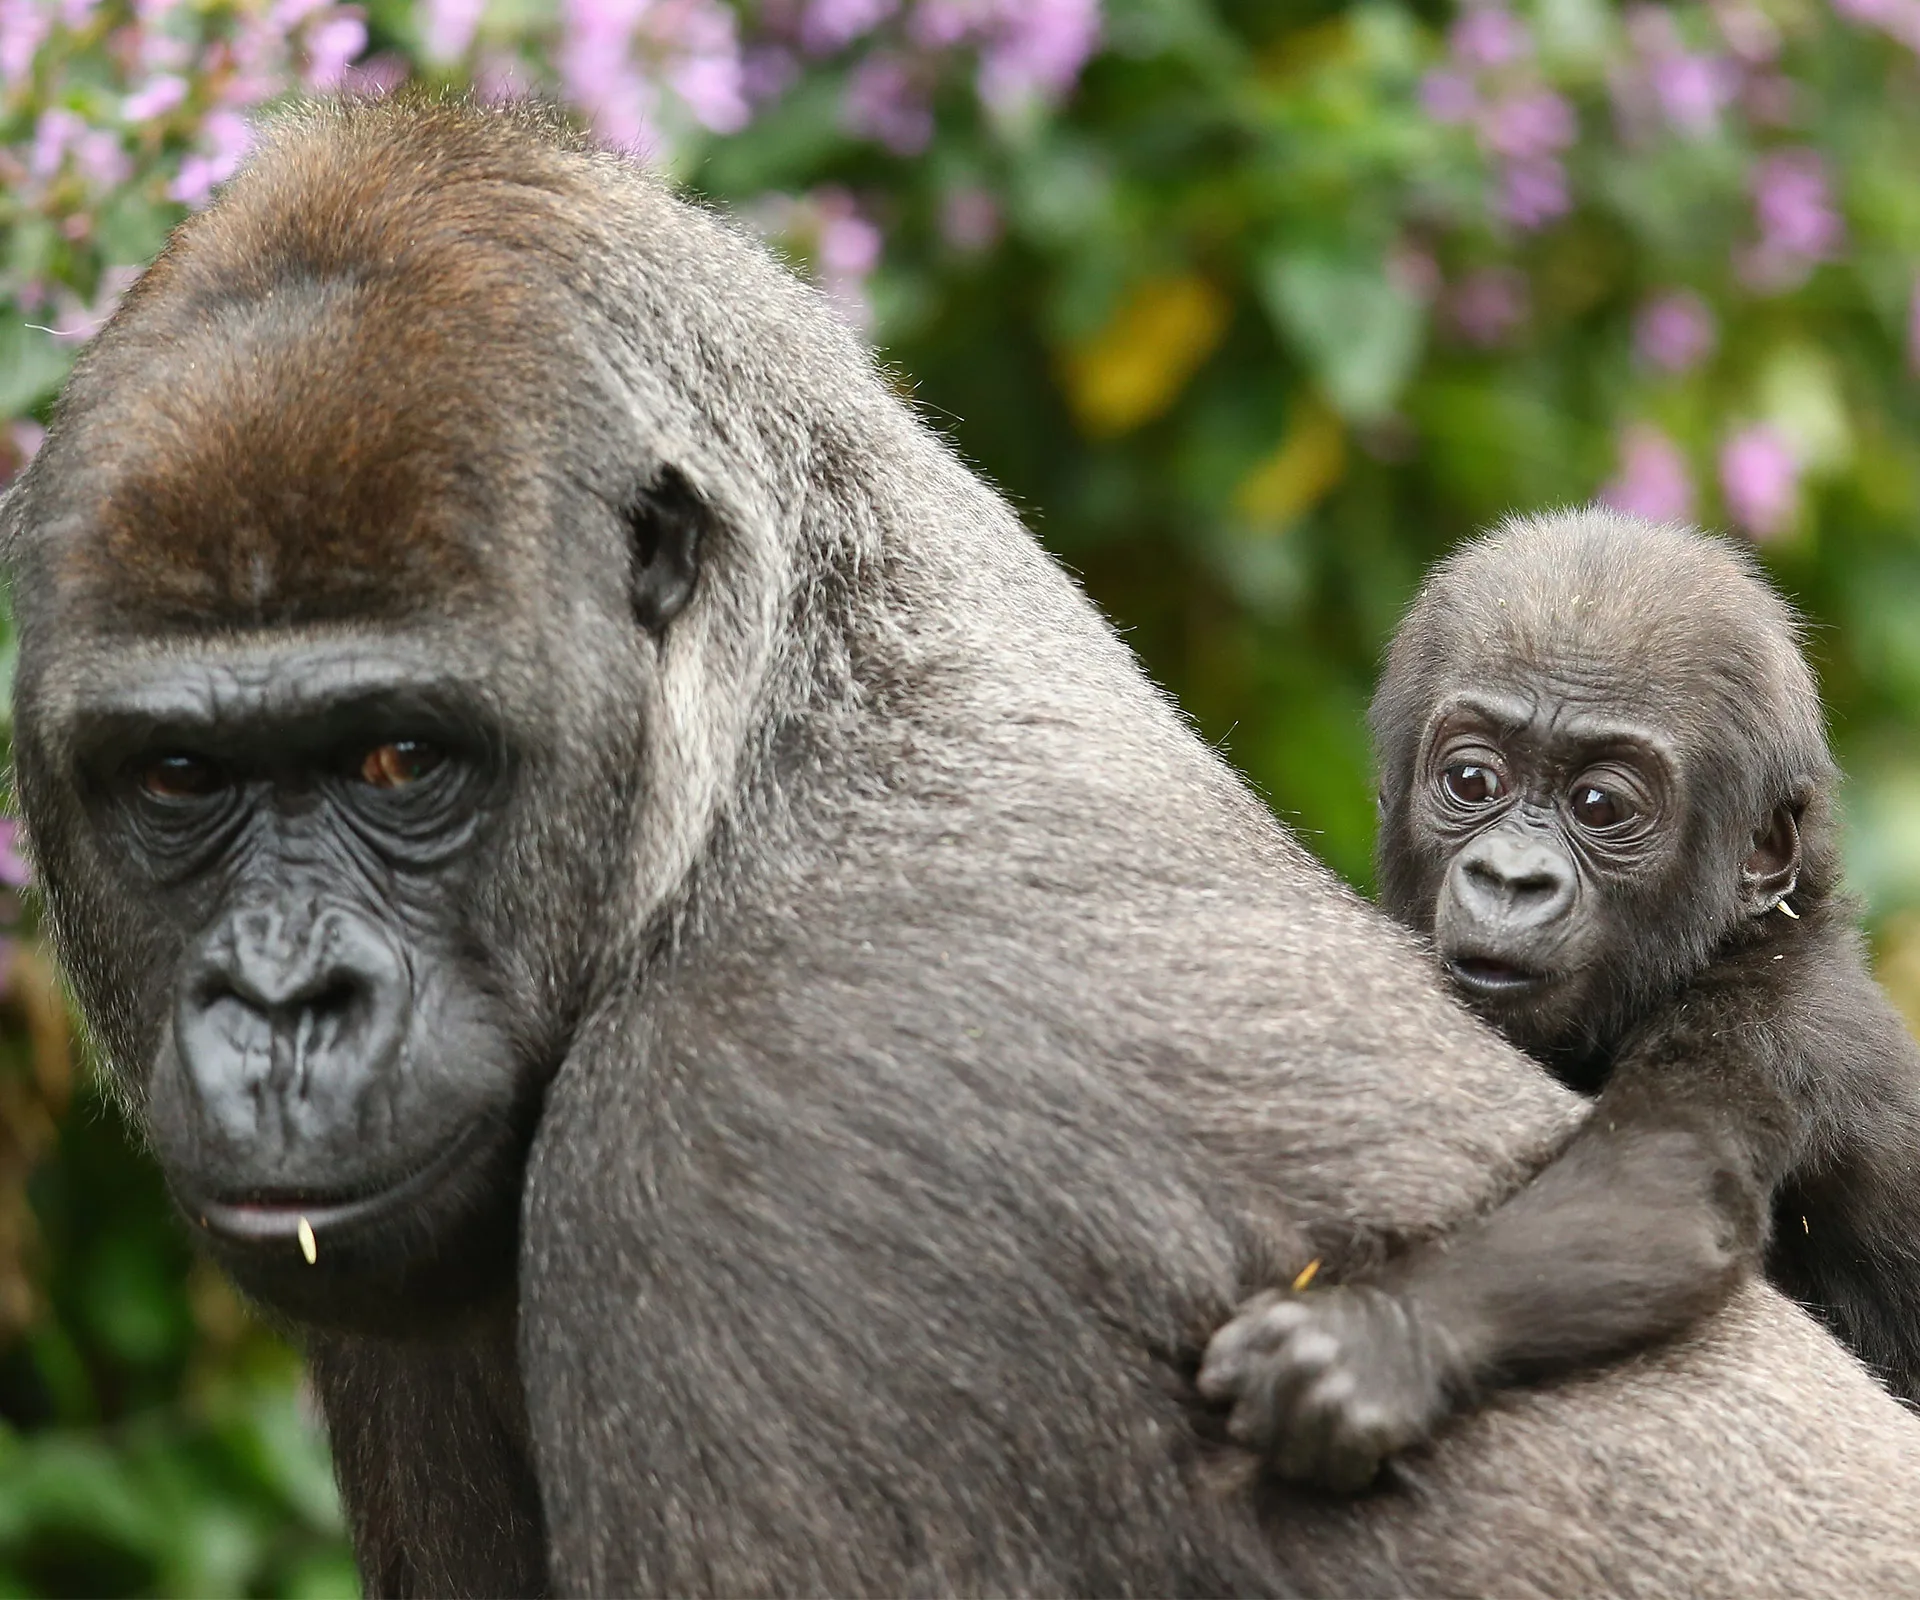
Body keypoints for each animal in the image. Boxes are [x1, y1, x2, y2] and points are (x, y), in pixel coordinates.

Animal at [1205, 507, 1920, 1482]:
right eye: (1472, 781)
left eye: (1600, 806)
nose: (1513, 880)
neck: (1741, 934)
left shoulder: (1783, 1026)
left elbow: (1660, 1185)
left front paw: (1378, 1336)